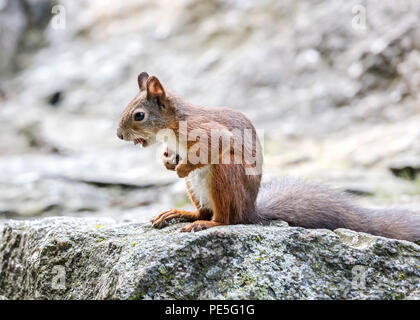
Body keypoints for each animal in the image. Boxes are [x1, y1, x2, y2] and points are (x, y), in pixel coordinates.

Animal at [117, 72, 420, 242]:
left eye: (139, 115)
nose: (119, 136)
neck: (172, 126)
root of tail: (251, 210)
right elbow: (171, 153)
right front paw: (167, 160)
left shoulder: (208, 132)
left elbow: (213, 147)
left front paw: (181, 167)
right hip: (195, 189)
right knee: (203, 210)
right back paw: (182, 213)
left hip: (226, 174)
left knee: (228, 219)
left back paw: (207, 223)